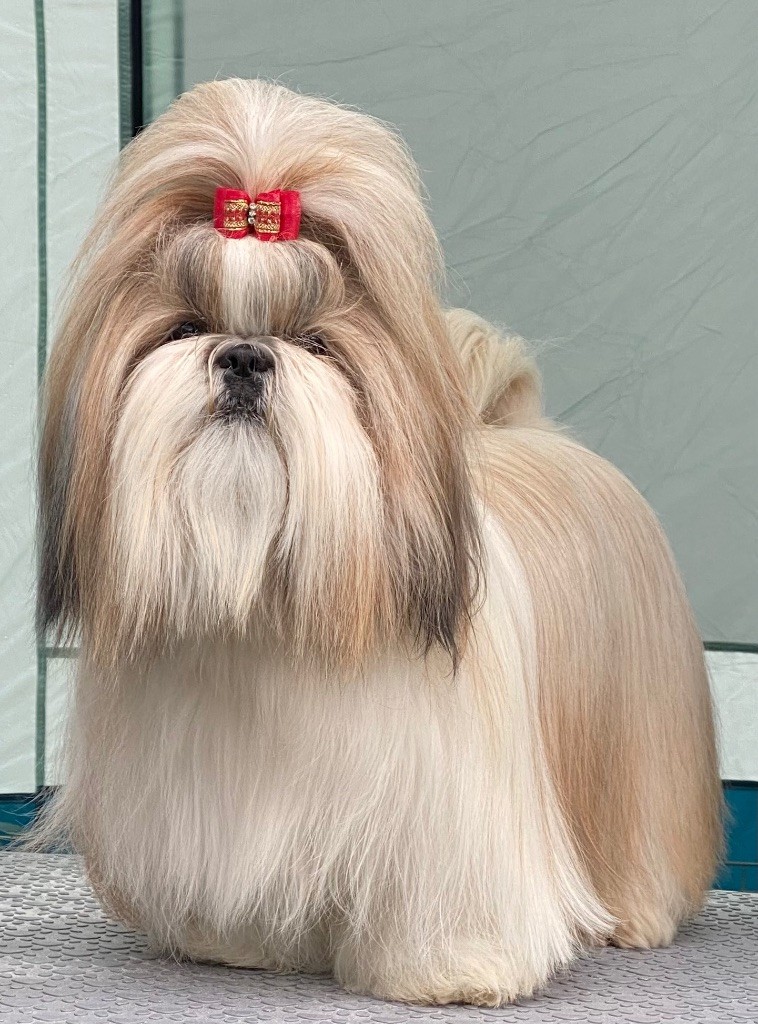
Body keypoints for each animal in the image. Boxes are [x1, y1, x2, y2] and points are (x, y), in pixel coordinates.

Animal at [35, 79, 722, 1006]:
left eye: (317, 345)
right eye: (182, 328)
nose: (244, 357)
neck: (270, 613)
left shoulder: (453, 812)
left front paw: (454, 967)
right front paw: (243, 944)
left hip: (639, 750)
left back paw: (637, 912)